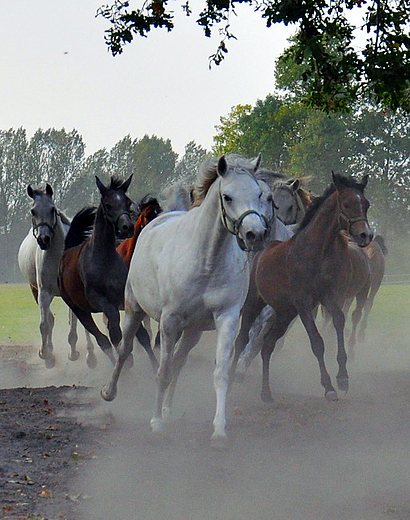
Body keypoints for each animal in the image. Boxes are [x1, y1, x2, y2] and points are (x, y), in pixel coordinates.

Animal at [17, 185, 94, 368]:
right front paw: (46, 355)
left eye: (53, 209)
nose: (44, 239)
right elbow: (45, 324)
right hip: (35, 290)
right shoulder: (44, 292)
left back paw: (88, 354)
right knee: (52, 319)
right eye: (33, 211)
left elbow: (77, 321)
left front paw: (75, 353)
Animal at [102, 154, 276, 446]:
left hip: (193, 330)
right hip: (134, 311)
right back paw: (110, 392)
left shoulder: (227, 318)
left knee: (179, 362)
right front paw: (156, 422)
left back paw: (168, 409)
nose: (256, 234)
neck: (206, 259)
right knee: (125, 350)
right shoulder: (169, 321)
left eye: (260, 194)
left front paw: (219, 430)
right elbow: (162, 371)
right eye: (227, 196)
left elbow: (219, 373)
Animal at [234, 173, 372, 404]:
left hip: (284, 313)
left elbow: (339, 322)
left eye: (366, 204)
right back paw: (232, 379)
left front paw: (342, 378)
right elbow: (317, 342)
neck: (316, 252)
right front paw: (329, 387)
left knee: (267, 345)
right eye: (346, 203)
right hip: (254, 304)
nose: (365, 235)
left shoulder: (329, 298)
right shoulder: (304, 304)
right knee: (241, 340)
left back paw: (266, 393)